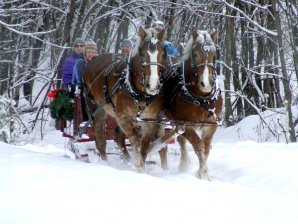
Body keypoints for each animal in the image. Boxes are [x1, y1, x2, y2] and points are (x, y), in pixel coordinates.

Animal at [83, 26, 170, 172]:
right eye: (142, 55)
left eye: (163, 55)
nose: (153, 85)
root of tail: (93, 59)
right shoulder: (123, 116)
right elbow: (136, 140)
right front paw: (139, 167)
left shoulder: (150, 119)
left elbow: (144, 144)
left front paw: (141, 167)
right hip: (96, 106)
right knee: (100, 136)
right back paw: (105, 163)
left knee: (118, 136)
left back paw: (126, 159)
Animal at [156, 27, 221, 179]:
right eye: (195, 54)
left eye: (214, 55)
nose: (206, 84)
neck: (201, 97)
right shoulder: (186, 124)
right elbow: (199, 146)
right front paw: (204, 174)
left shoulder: (211, 125)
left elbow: (206, 148)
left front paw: (200, 172)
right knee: (163, 145)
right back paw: (167, 168)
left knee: (179, 139)